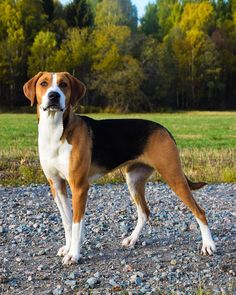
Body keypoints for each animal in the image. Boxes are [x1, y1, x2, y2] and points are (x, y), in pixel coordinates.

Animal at [23, 71, 217, 266]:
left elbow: (77, 223)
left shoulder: (79, 186)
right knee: (144, 212)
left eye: (63, 84)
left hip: (174, 176)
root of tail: (164, 129)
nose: (53, 96)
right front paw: (68, 247)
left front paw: (74, 254)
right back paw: (132, 239)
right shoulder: (57, 185)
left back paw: (208, 245)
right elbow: (67, 222)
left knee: (200, 212)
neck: (56, 131)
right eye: (44, 83)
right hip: (133, 180)